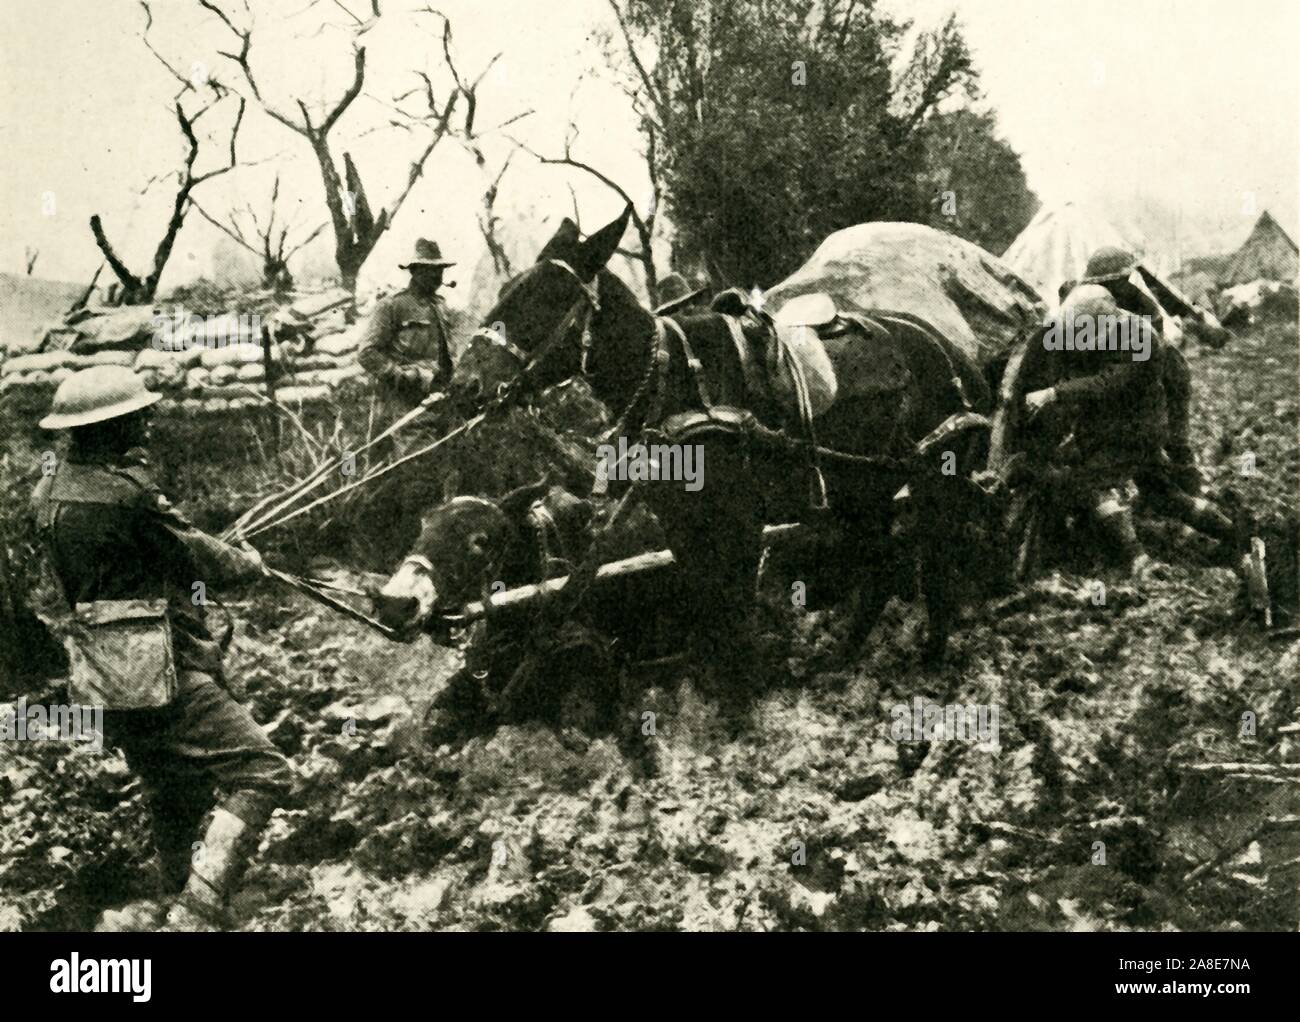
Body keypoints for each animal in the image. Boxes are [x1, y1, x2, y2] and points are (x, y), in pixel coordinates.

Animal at [413, 210, 993, 665]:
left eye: (546, 299)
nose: (463, 386)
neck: (669, 380)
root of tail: (952, 349)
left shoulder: (738, 527)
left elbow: (732, 622)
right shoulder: (683, 528)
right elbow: (707, 619)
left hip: (936, 481)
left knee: (936, 563)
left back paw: (932, 658)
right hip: (863, 489)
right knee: (879, 567)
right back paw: (844, 658)